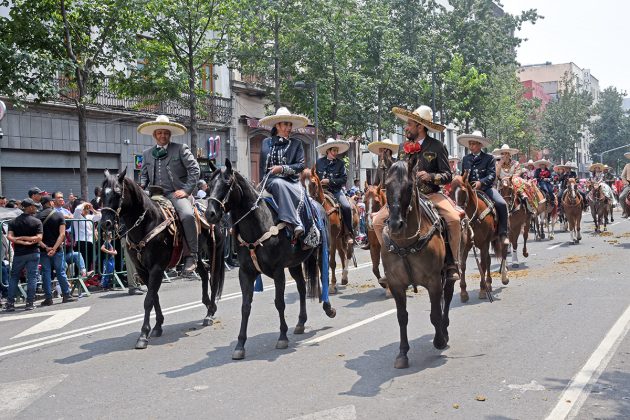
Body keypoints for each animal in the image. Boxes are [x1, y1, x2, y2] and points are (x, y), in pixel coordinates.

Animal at [100, 169, 226, 350]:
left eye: (117, 192)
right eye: (102, 193)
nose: (106, 223)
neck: (147, 222)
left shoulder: (157, 268)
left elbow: (148, 300)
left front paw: (143, 335)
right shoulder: (143, 270)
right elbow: (154, 297)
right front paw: (158, 326)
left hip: (215, 249)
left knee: (214, 278)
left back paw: (209, 313)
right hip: (195, 255)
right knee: (203, 273)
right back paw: (207, 304)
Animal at [206, 159, 336, 360]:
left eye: (227, 183)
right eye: (209, 184)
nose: (210, 214)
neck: (258, 223)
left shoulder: (277, 271)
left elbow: (279, 302)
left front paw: (282, 337)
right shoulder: (246, 273)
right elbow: (245, 306)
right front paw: (240, 345)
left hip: (322, 252)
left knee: (323, 277)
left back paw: (329, 309)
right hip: (295, 264)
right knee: (301, 287)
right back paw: (300, 322)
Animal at [380, 160, 454, 368]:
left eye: (409, 186)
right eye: (386, 185)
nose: (395, 224)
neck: (406, 243)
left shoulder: (433, 281)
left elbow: (435, 314)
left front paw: (439, 340)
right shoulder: (396, 284)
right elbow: (402, 317)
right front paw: (402, 353)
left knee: (448, 296)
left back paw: (444, 331)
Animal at [452, 172, 512, 300]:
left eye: (463, 191)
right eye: (449, 191)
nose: (458, 214)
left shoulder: (484, 244)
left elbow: (482, 265)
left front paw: (482, 290)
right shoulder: (466, 245)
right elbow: (463, 265)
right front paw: (463, 292)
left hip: (502, 236)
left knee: (503, 251)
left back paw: (504, 277)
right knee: (488, 260)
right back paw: (488, 283)